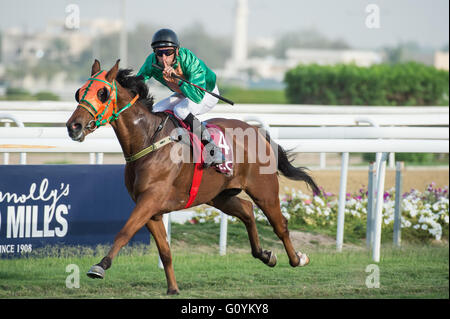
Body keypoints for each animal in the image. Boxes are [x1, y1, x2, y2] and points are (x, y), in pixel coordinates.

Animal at [66, 59, 320, 296]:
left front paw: (100, 266)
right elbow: (165, 251)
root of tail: (258, 132)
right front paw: (173, 288)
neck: (149, 140)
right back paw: (265, 255)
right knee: (247, 210)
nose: (73, 126)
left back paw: (298, 259)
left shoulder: (150, 200)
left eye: (102, 93)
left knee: (280, 225)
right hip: (219, 196)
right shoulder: (150, 209)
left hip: (264, 191)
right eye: (79, 91)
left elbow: (125, 232)